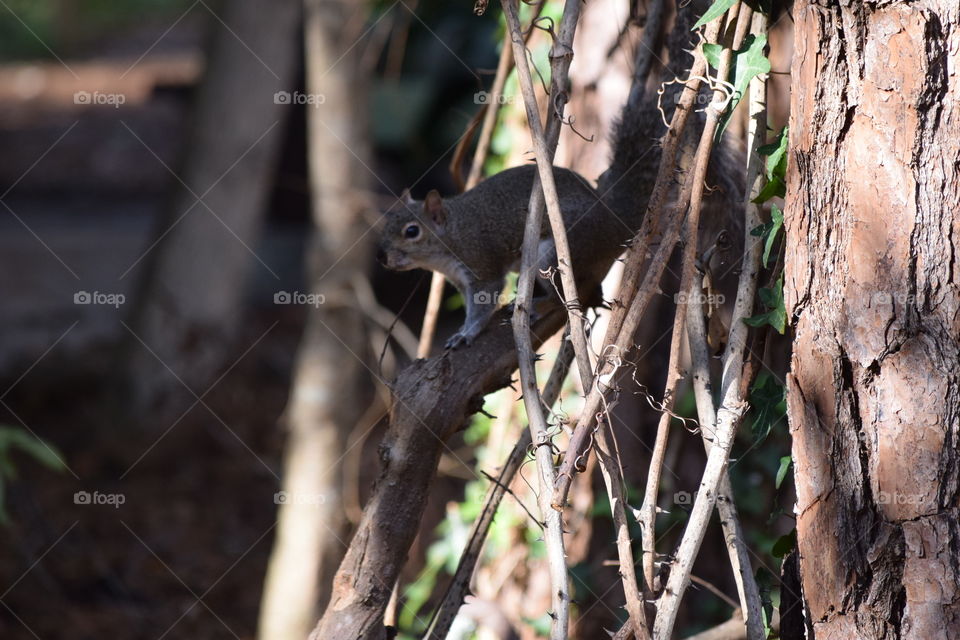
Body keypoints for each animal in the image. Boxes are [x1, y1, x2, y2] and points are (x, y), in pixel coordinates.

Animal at [378, 3, 743, 349]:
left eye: (412, 231)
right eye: (384, 223)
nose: (384, 259)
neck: (451, 233)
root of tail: (615, 222)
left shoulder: (480, 263)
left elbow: (483, 303)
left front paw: (466, 334)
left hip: (553, 252)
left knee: (562, 298)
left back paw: (537, 305)